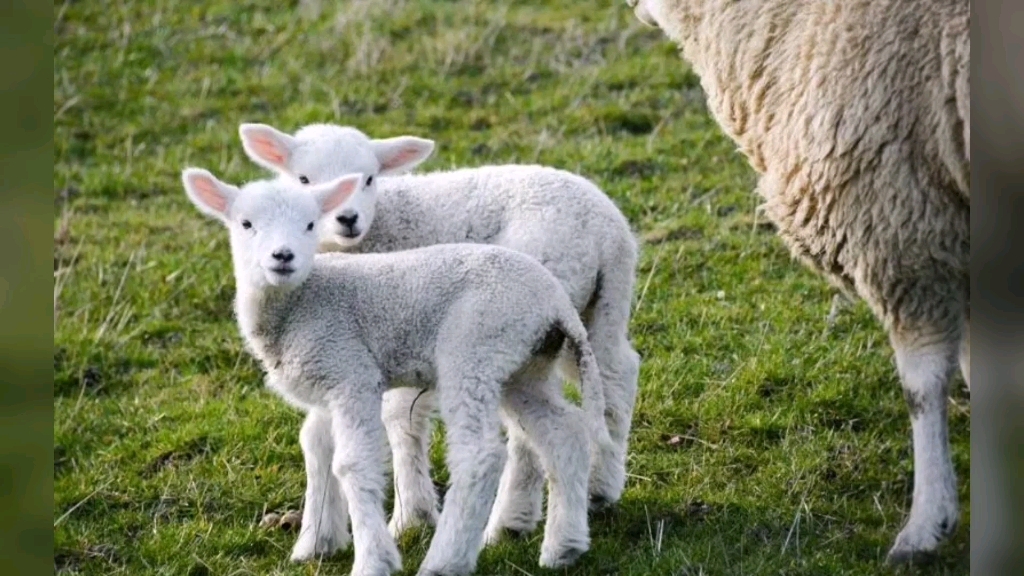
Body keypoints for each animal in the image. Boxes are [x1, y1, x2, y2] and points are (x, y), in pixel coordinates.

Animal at [180, 167, 610, 573]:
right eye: (245, 224)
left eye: (310, 224)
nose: (283, 256)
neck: (300, 302)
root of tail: (555, 302)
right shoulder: (325, 380)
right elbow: (316, 450)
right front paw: (315, 543)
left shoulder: (350, 371)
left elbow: (352, 464)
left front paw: (373, 560)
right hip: (523, 365)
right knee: (564, 432)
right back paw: (564, 547)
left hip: (474, 348)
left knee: (479, 454)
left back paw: (446, 560)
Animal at [237, 120, 638, 537]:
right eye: (303, 179)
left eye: (369, 178)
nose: (347, 218)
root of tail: (603, 230)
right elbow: (324, 433)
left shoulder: (400, 327)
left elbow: (400, 417)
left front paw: (409, 515)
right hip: (602, 304)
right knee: (616, 372)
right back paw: (602, 485)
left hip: (531, 303)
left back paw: (509, 518)